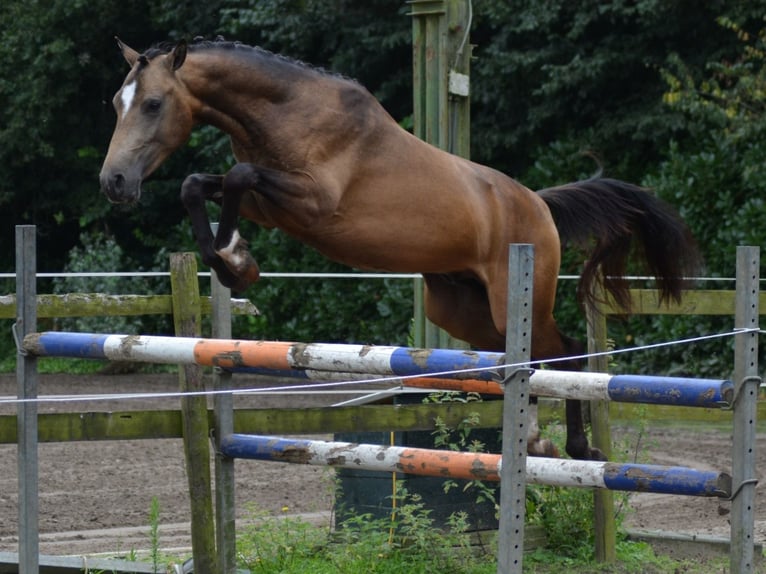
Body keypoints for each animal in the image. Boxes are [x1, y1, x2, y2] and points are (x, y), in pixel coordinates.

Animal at [100, 39, 704, 464]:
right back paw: (535, 441)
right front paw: (235, 263)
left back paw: (575, 448)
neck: (286, 110)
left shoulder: (312, 202)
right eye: (115, 103)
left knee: (566, 353)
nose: (114, 182)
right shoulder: (270, 206)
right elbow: (199, 184)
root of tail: (539, 203)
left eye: (153, 103)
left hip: (517, 297)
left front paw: (232, 257)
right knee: (523, 360)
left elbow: (235, 176)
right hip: (465, 311)